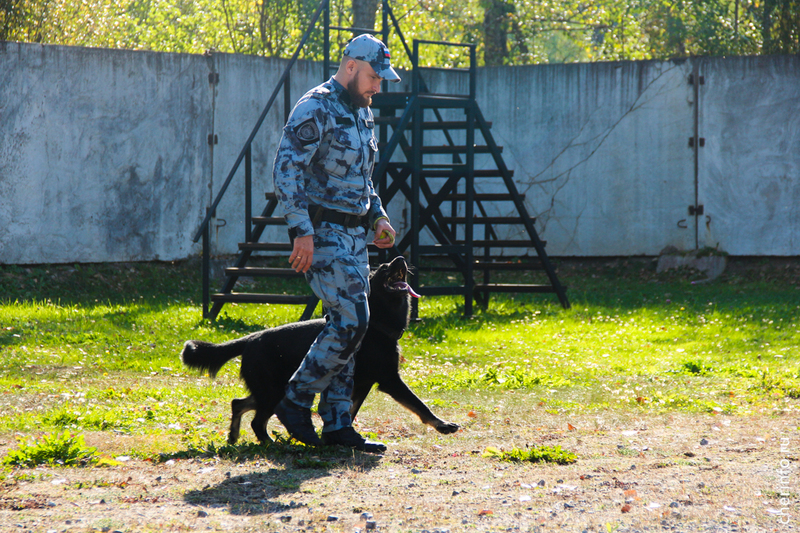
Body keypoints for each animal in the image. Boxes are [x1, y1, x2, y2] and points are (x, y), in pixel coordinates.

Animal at [180, 256, 456, 442]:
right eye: (382, 269)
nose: (400, 257)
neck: (377, 324)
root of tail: (251, 338)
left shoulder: (362, 385)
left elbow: (349, 412)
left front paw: (340, 436)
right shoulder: (389, 380)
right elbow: (419, 404)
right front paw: (441, 424)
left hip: (269, 390)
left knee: (239, 404)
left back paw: (234, 436)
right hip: (272, 391)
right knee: (258, 421)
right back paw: (270, 443)